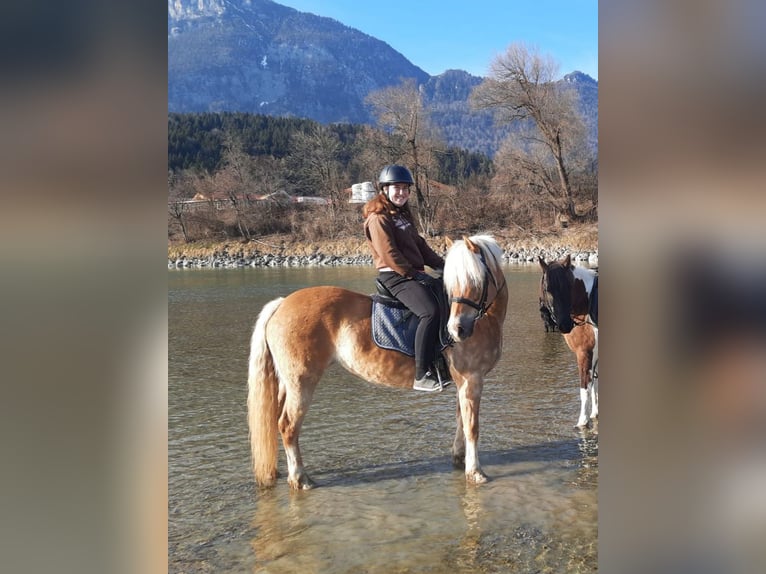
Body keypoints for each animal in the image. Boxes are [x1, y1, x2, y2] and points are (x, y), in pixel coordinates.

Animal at [248, 234, 510, 490]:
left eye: (476, 281)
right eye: (452, 283)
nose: (456, 330)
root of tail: (281, 304)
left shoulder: (463, 382)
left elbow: (460, 420)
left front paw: (459, 458)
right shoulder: (471, 379)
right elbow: (472, 426)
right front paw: (475, 472)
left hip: (288, 383)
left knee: (276, 421)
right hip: (301, 383)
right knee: (288, 425)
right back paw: (300, 479)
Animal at [540, 254, 600, 430]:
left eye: (569, 286)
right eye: (548, 289)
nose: (565, 324)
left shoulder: (584, 353)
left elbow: (585, 389)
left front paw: (582, 421)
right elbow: (593, 386)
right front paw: (593, 414)